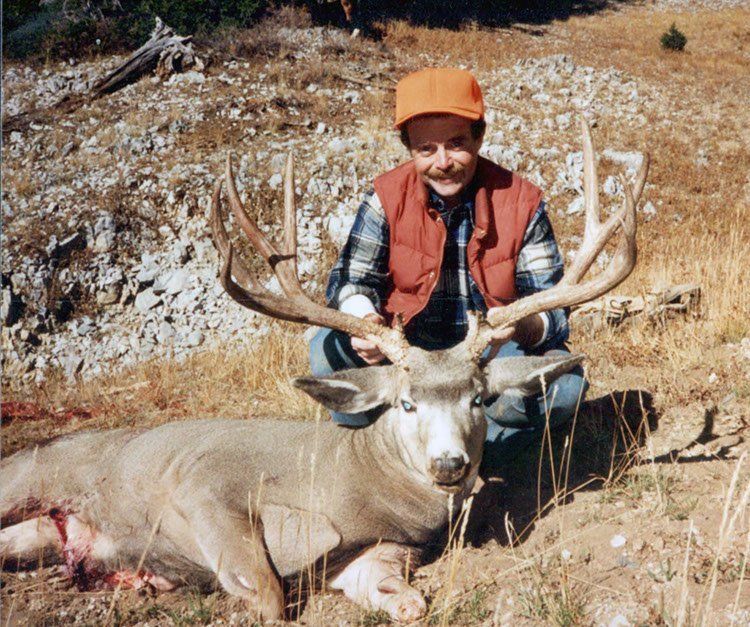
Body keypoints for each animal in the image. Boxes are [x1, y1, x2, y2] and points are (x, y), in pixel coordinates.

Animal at [0, 120, 648, 622]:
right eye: (406, 402)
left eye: (478, 399)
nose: (448, 464)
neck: (352, 482)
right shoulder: (205, 482)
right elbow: (268, 596)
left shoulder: (377, 552)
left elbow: (406, 602)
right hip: (26, 476)